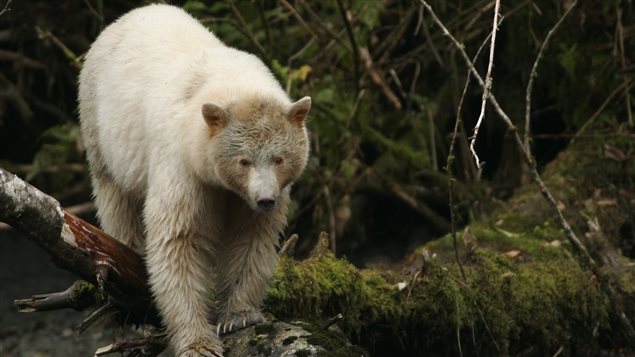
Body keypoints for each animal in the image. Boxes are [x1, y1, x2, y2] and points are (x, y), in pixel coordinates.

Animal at [78, 3, 312, 356]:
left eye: (279, 158)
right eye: (244, 161)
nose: (265, 200)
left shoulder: (248, 197)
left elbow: (251, 237)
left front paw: (237, 316)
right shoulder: (183, 168)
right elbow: (179, 241)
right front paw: (198, 341)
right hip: (101, 130)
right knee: (117, 204)